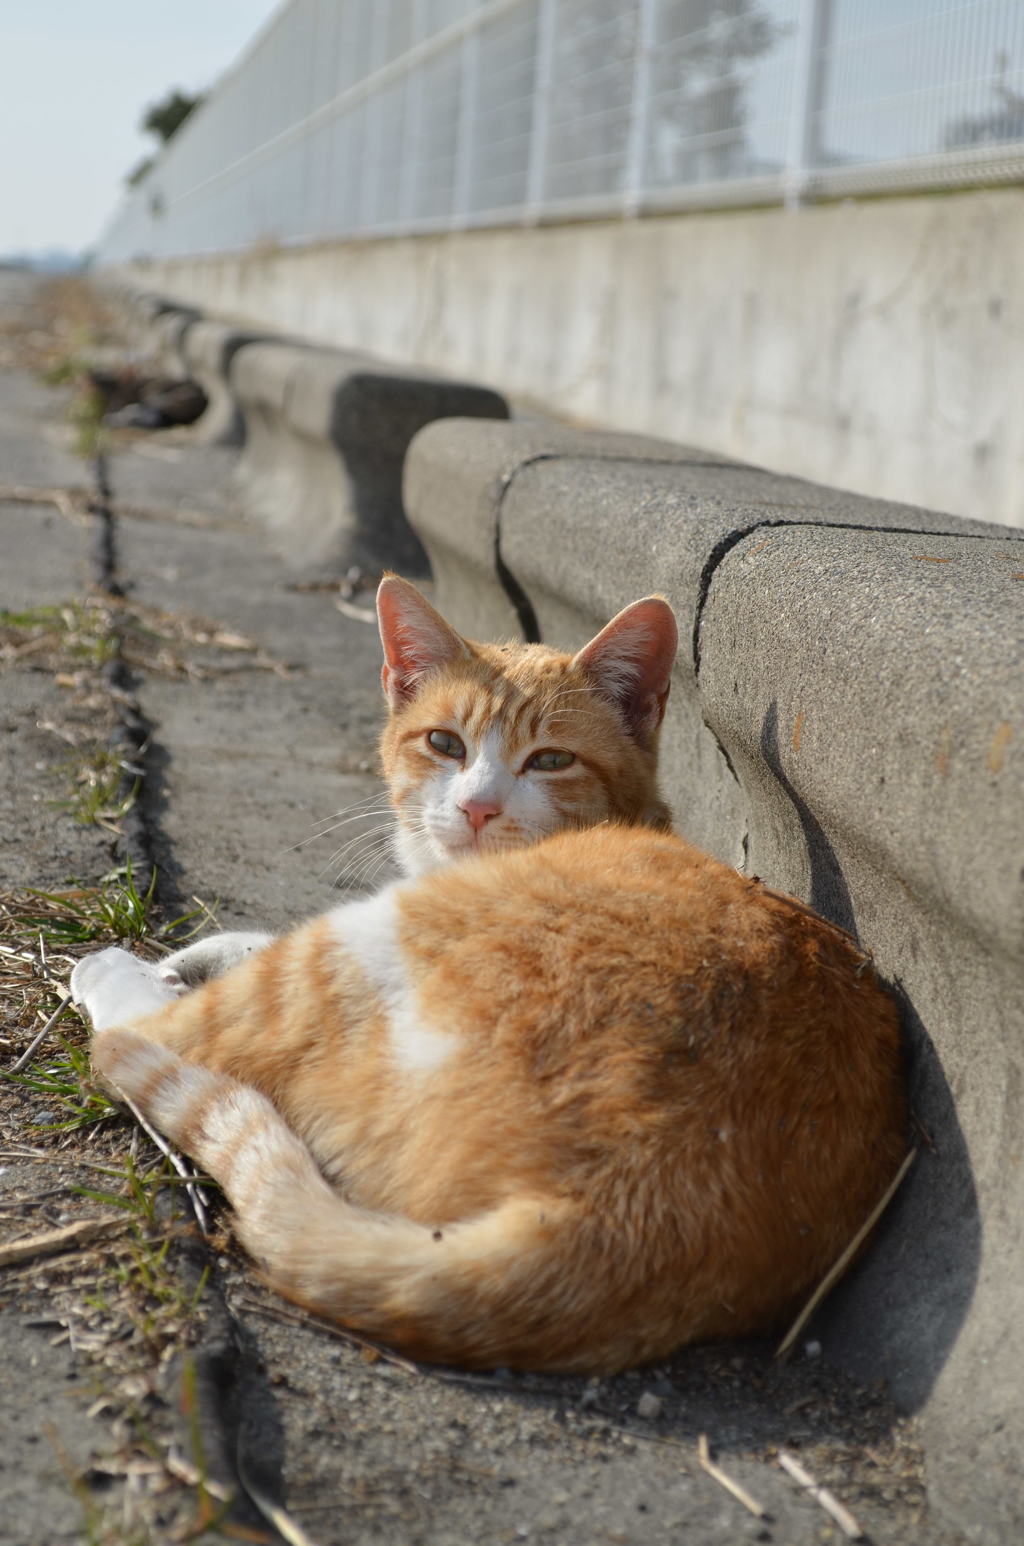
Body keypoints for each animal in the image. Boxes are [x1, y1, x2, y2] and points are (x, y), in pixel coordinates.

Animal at [70, 575, 909, 1372]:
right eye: (445, 743)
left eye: (551, 760)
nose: (477, 807)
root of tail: (612, 1213)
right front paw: (198, 953)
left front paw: (170, 965)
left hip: (367, 947)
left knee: (160, 1036)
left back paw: (115, 974)